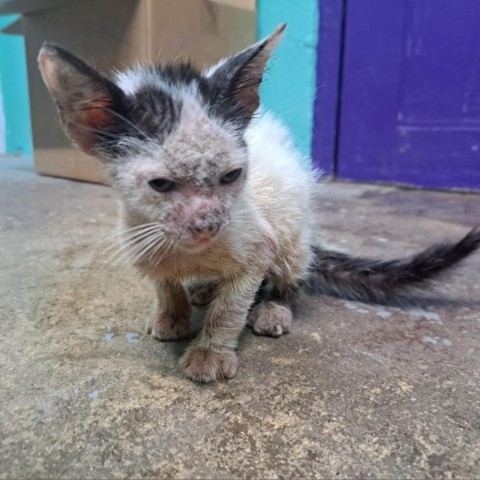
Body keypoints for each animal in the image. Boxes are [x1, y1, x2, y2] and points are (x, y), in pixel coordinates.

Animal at [38, 26, 480, 384]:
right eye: (160, 184)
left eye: (232, 176)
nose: (208, 223)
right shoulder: (141, 242)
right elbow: (164, 283)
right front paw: (173, 315)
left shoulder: (256, 244)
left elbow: (231, 307)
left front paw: (210, 352)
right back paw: (203, 289)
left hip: (292, 239)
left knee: (289, 278)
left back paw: (272, 309)